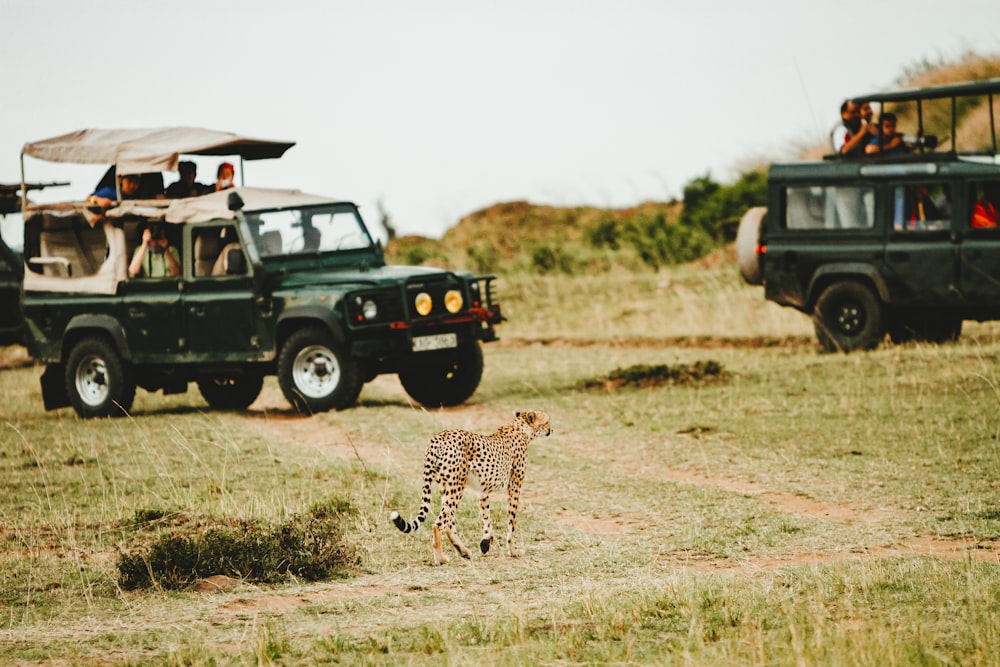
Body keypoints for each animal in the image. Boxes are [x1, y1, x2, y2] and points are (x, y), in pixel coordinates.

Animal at [390, 412, 552, 564]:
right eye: (547, 421)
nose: (551, 430)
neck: (520, 428)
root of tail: (437, 439)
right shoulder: (515, 486)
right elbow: (511, 522)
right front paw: (513, 551)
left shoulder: (484, 490)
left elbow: (486, 516)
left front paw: (485, 543)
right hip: (456, 486)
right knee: (439, 523)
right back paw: (441, 558)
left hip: (447, 487)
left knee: (448, 522)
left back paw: (463, 551)